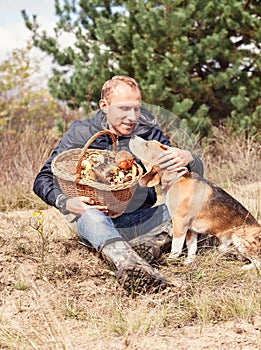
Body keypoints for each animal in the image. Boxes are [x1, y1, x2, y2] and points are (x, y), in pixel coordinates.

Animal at [129, 135, 260, 270]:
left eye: (147, 145)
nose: (133, 136)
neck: (176, 179)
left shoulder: (179, 223)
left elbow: (176, 247)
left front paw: (171, 260)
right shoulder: (191, 230)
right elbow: (192, 247)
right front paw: (189, 261)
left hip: (239, 237)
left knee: (257, 262)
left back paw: (245, 267)